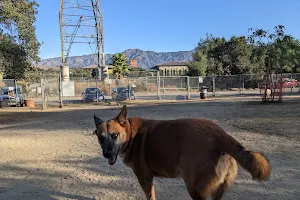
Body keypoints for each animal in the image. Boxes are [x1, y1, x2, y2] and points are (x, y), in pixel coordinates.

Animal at [92, 105, 270, 199]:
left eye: (114, 136)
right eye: (101, 138)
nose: (107, 154)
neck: (130, 134)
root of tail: (221, 135)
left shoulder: (145, 179)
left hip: (194, 187)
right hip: (217, 189)